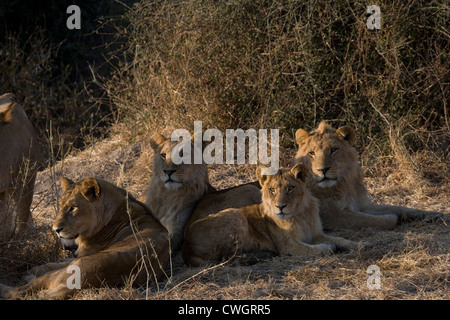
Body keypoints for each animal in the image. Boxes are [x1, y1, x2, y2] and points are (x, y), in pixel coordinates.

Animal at [0, 176, 169, 298]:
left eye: (72, 208)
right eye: (60, 205)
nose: (55, 230)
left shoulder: (83, 254)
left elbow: (55, 264)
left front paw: (32, 271)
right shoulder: (79, 254)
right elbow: (58, 261)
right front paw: (34, 269)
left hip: (64, 272)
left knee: (20, 291)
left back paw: (7, 287)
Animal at [181, 164, 356, 266]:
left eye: (291, 188)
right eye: (272, 189)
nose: (280, 207)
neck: (300, 214)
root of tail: (185, 247)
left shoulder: (316, 234)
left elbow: (340, 239)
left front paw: (356, 244)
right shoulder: (288, 246)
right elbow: (322, 248)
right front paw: (332, 248)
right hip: (235, 212)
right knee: (229, 257)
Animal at [296, 120, 442, 230]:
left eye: (333, 150)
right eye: (311, 153)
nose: (322, 169)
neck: (344, 184)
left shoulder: (362, 204)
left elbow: (400, 207)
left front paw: (435, 214)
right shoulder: (332, 215)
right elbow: (383, 220)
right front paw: (396, 217)